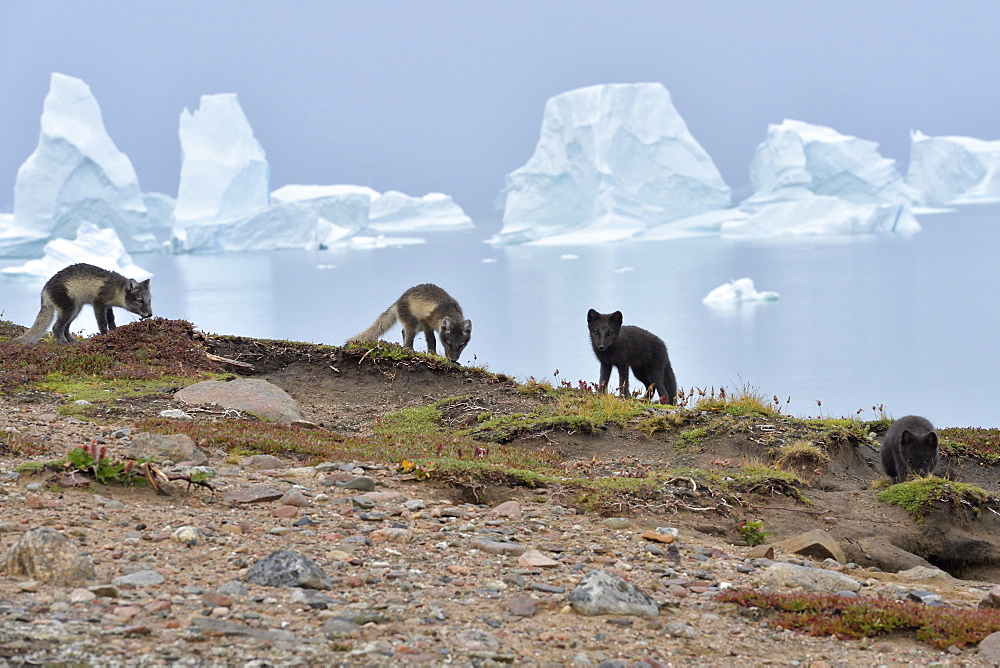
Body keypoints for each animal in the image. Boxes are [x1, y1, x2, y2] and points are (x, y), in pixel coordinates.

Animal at [12, 262, 152, 344]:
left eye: (149, 300)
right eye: (140, 300)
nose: (150, 314)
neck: (116, 289)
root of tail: (44, 290)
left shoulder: (108, 306)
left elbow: (111, 319)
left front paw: (114, 332)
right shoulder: (98, 303)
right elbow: (102, 322)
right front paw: (105, 335)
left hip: (75, 310)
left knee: (66, 328)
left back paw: (73, 342)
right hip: (69, 309)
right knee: (56, 327)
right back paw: (64, 344)